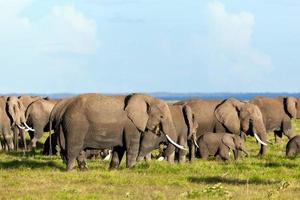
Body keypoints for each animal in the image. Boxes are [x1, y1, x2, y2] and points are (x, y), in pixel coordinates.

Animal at [52, 93, 184, 170]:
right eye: (162, 117)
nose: (163, 147)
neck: (146, 97)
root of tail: (63, 109)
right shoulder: (131, 126)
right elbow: (132, 147)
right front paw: (131, 169)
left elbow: (119, 148)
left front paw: (113, 170)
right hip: (75, 125)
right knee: (74, 147)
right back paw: (71, 171)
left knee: (79, 150)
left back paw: (84, 170)